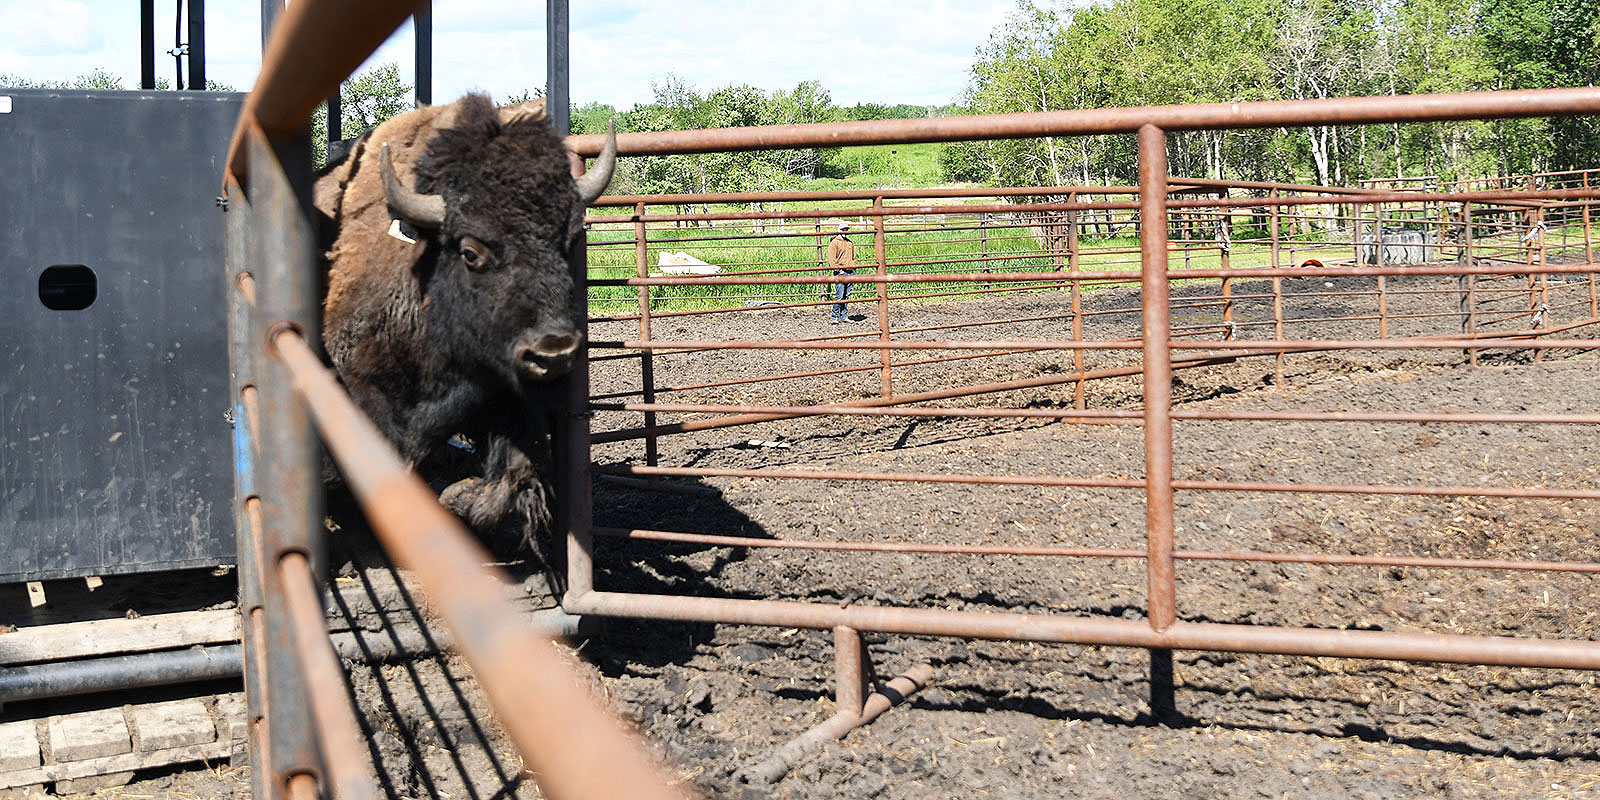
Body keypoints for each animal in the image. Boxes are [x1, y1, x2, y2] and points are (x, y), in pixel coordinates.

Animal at [313, 90, 617, 547]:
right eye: (471, 252)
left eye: (566, 242)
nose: (553, 353)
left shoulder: (504, 401)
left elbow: (508, 484)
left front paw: (456, 497)